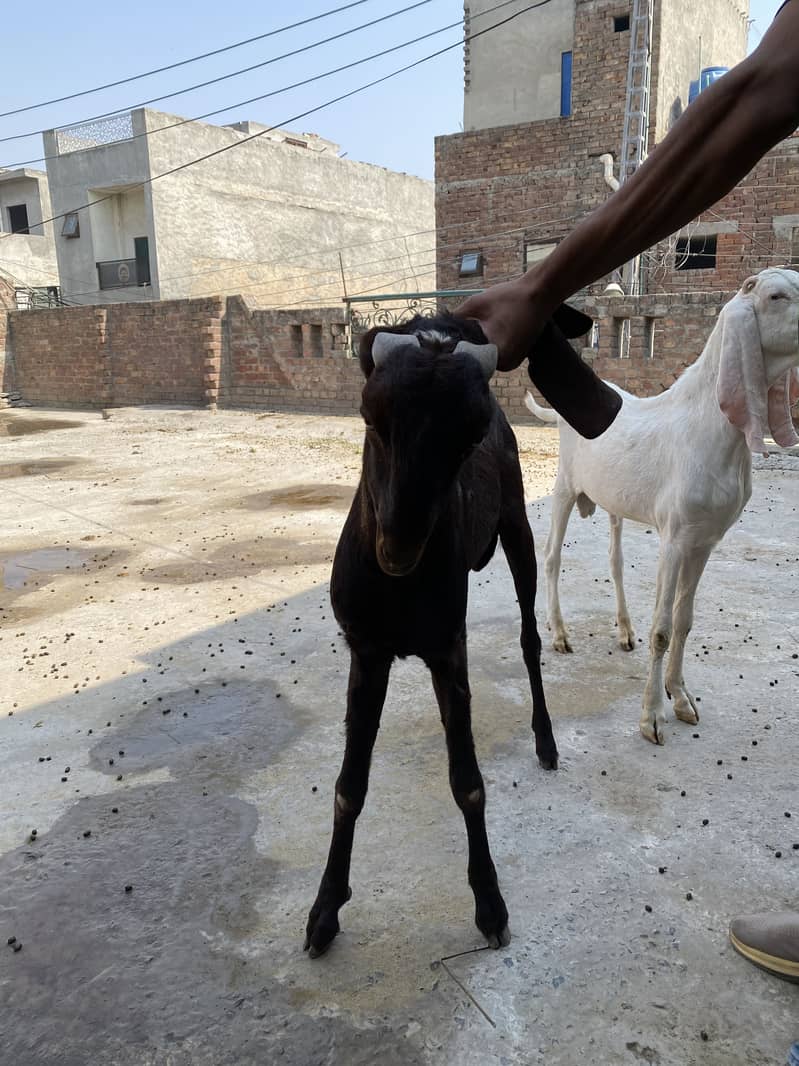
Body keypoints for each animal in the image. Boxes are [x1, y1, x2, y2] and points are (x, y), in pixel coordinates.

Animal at [304, 307, 593, 957]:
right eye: (371, 418)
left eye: (468, 434)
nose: (397, 546)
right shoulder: (367, 650)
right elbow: (348, 786)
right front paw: (325, 910)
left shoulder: (446, 647)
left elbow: (468, 783)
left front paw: (490, 903)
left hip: (517, 526)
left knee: (529, 639)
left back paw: (545, 740)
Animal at [525, 268, 799, 746]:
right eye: (776, 296)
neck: (708, 427)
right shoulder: (674, 538)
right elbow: (662, 629)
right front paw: (651, 716)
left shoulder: (704, 541)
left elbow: (684, 620)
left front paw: (682, 698)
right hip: (563, 488)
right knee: (553, 556)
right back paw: (559, 634)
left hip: (613, 503)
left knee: (615, 560)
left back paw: (623, 630)